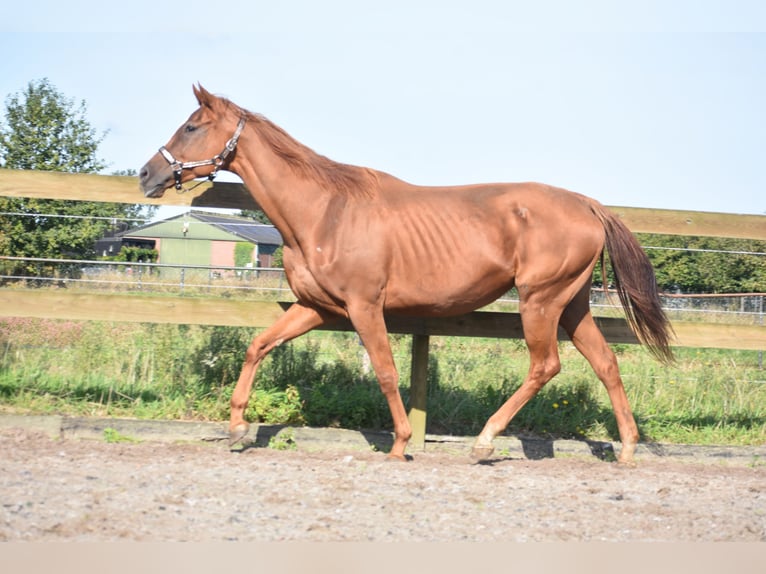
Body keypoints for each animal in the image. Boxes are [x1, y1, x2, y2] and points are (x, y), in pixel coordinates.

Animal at [140, 85, 672, 466]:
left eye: (191, 126)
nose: (147, 175)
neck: (324, 212)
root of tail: (588, 204)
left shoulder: (364, 306)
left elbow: (386, 371)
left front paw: (399, 444)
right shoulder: (316, 308)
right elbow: (258, 346)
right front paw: (236, 428)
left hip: (540, 301)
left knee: (546, 366)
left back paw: (485, 441)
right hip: (572, 304)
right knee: (606, 363)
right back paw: (626, 449)